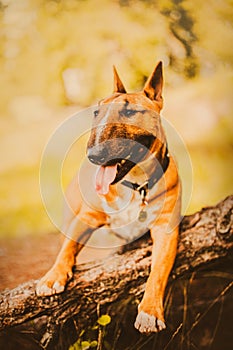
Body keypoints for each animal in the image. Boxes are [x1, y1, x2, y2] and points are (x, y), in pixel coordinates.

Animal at [36, 62, 181, 334]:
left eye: (130, 111)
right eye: (96, 112)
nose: (94, 155)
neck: (135, 185)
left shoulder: (165, 229)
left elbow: (158, 272)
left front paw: (149, 313)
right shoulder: (86, 218)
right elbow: (67, 248)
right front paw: (52, 278)